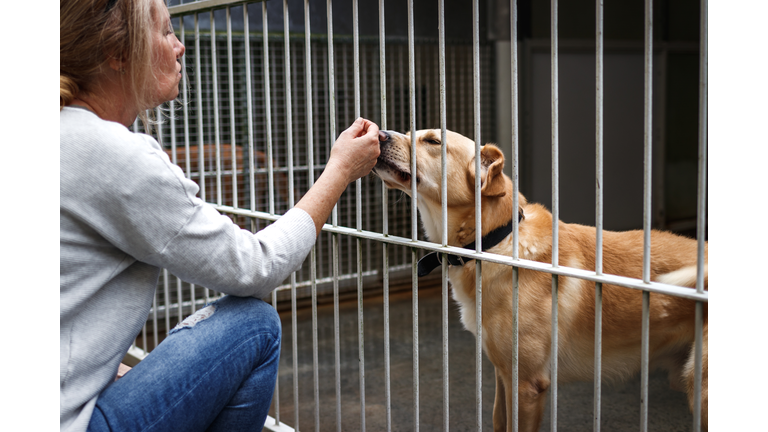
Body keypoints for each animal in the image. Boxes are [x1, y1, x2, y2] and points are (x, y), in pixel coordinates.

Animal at [372, 128, 708, 432]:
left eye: (433, 141)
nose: (379, 134)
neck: (495, 241)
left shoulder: (527, 384)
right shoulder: (503, 375)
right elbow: (498, 421)